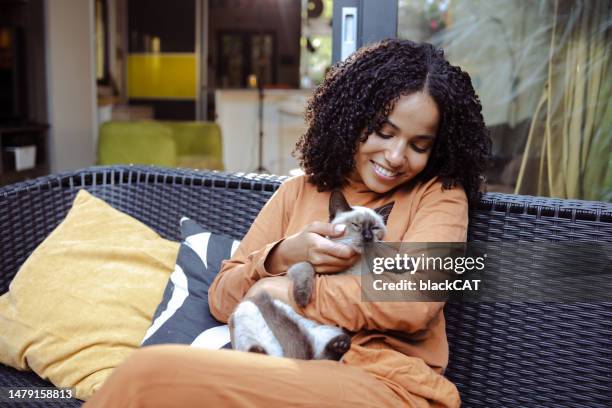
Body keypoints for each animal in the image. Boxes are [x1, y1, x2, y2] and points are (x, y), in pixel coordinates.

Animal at [230, 191, 388, 360]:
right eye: (356, 225)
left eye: (375, 228)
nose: (368, 237)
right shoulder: (301, 266)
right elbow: (307, 269)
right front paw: (302, 299)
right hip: (247, 310)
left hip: (327, 331)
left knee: (325, 355)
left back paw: (338, 345)